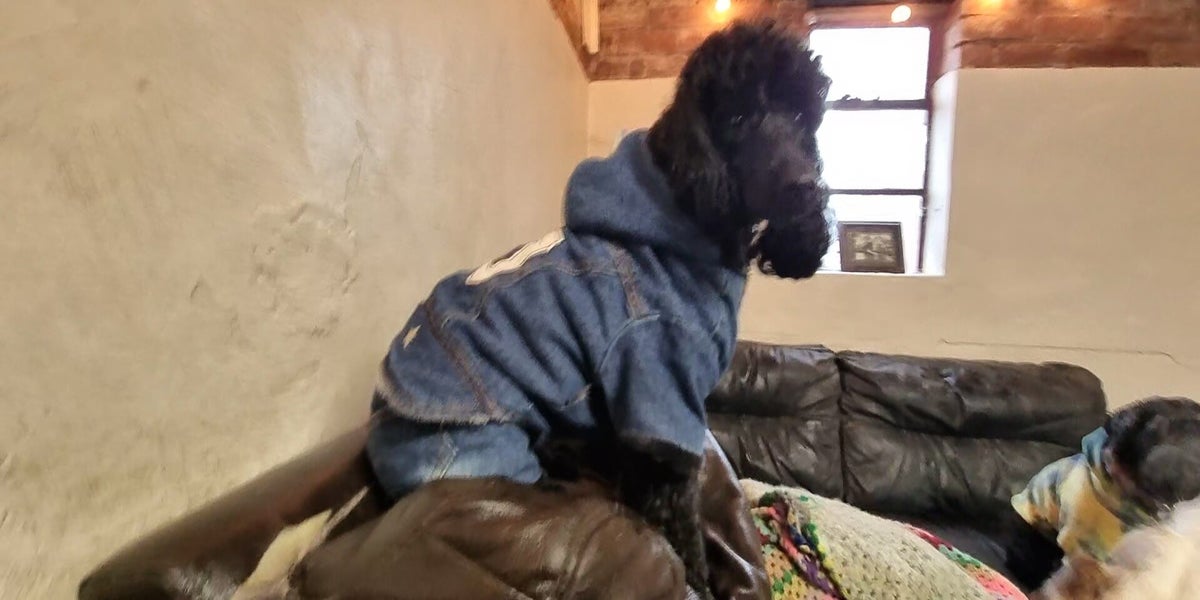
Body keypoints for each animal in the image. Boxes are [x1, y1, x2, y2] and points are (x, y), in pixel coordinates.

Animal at [366, 20, 831, 600]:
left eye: (802, 118)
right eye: (739, 117)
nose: (805, 190)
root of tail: (379, 418)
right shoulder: (661, 395)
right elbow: (683, 529)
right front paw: (699, 579)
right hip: (485, 452)